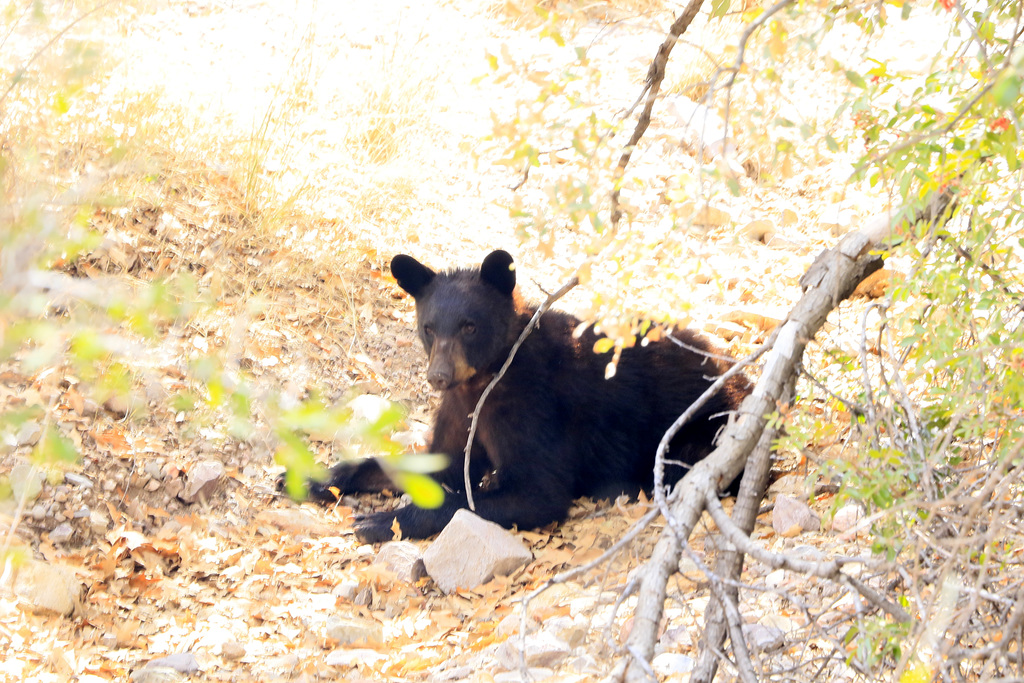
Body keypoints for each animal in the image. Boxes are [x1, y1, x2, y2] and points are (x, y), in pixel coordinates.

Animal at [299, 250, 749, 544]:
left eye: (469, 326)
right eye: (429, 327)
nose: (439, 376)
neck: (481, 383)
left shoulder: (532, 405)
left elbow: (532, 492)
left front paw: (380, 522)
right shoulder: (459, 410)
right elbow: (439, 463)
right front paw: (313, 477)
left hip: (707, 427)